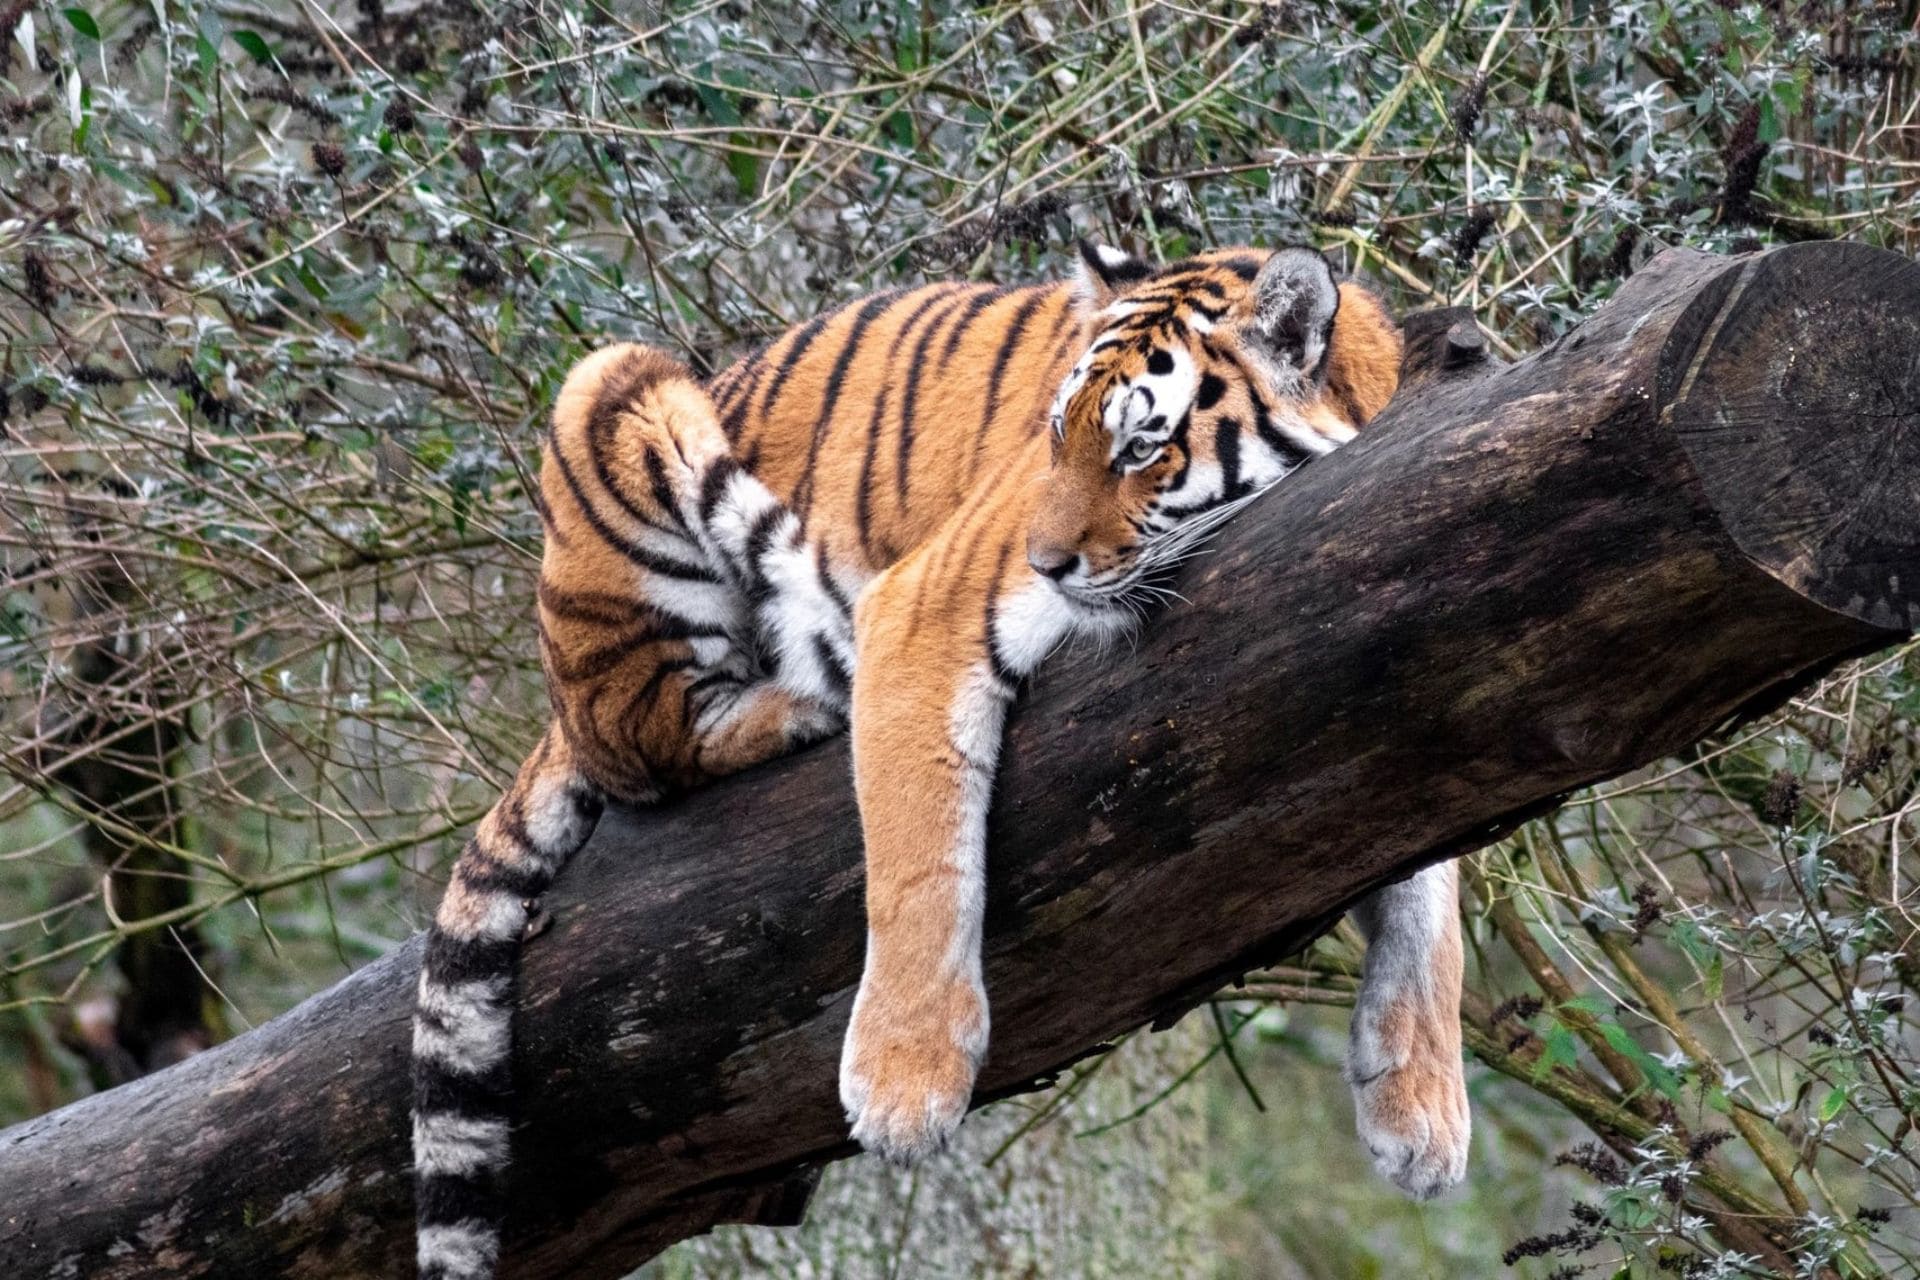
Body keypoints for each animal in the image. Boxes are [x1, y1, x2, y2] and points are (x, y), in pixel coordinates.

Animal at [412, 242, 1466, 1280]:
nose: (1042, 564)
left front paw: (1422, 1108)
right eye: (1056, 435)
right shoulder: (921, 612)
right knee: (648, 740)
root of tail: (555, 702)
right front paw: (902, 1088)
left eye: (1141, 447)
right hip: (615, 389)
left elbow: (1432, 893)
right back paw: (801, 703)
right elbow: (921, 865)